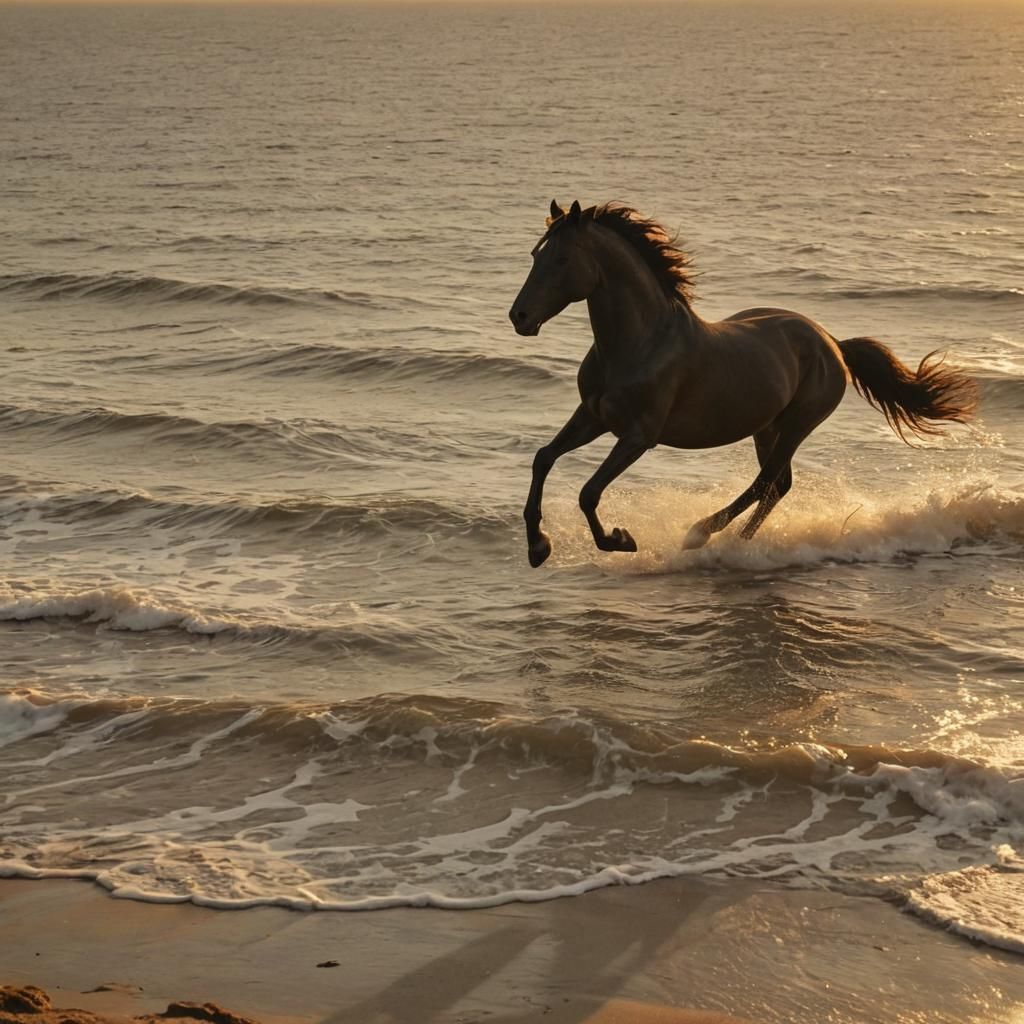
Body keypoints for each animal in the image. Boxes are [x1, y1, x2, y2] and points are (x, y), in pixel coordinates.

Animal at [508, 200, 978, 568]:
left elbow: (588, 492)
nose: (519, 317)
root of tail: (831, 342)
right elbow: (543, 458)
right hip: (766, 427)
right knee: (777, 485)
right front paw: (537, 547)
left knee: (766, 483)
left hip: (799, 423)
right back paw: (736, 545)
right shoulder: (593, 417)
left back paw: (703, 535)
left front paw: (618, 540)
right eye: (534, 255)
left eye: (562, 260)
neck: (638, 344)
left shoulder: (639, 435)